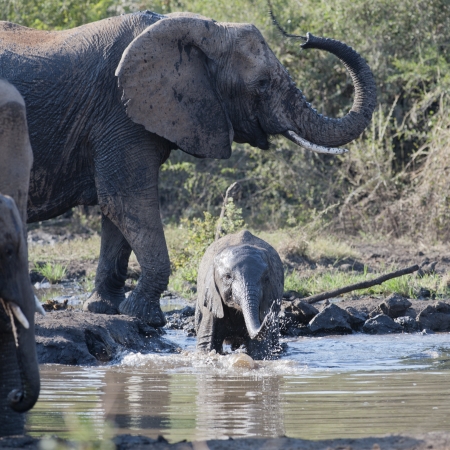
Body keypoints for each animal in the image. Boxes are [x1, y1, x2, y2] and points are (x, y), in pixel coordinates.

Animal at [0, 10, 376, 326]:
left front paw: (105, 309)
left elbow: (116, 214)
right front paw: (146, 317)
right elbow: (125, 200)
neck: (199, 29)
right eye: (262, 84)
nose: (307, 38)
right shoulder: (119, 112)